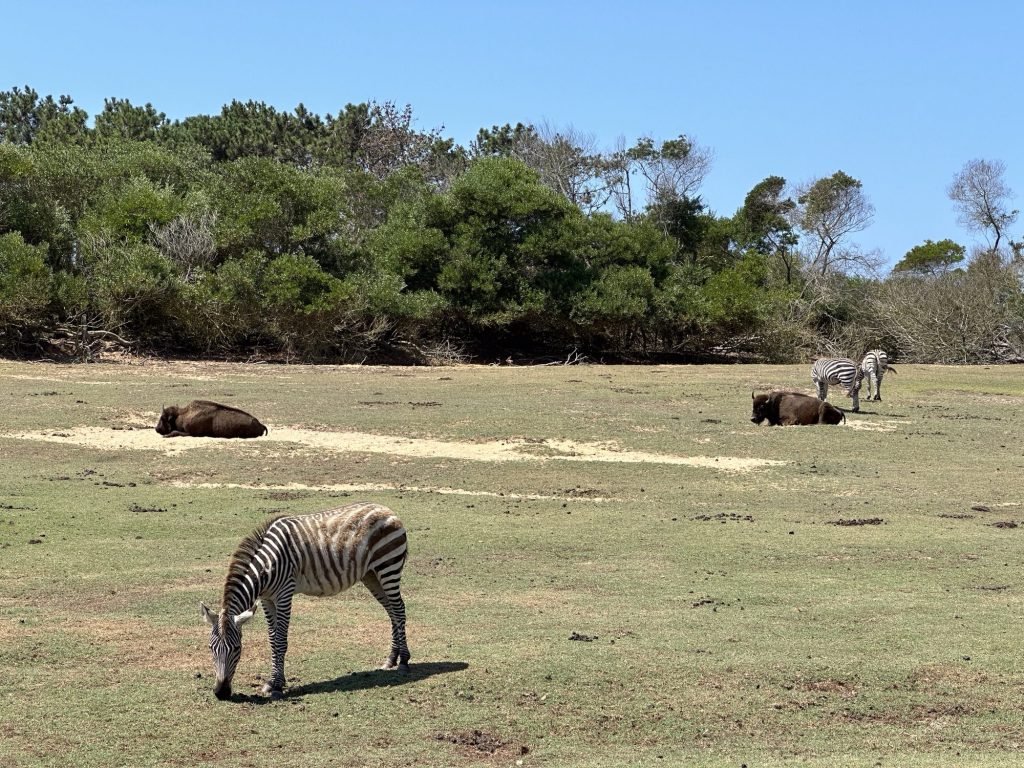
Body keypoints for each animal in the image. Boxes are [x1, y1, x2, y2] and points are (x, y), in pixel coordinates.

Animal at [200, 501, 410, 700]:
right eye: (210, 648)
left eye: (237, 648)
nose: (221, 692)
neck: (266, 567)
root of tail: (386, 509)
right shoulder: (267, 599)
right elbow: (272, 639)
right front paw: (273, 681)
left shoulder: (284, 594)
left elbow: (280, 640)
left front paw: (277, 685)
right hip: (371, 575)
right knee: (391, 611)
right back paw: (392, 658)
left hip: (388, 567)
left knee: (399, 610)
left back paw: (404, 661)